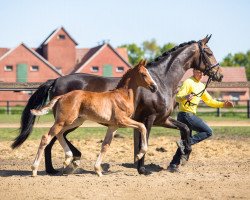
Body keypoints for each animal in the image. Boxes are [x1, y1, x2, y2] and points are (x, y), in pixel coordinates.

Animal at [12, 35, 223, 174]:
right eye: (209, 52)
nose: (219, 74)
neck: (161, 80)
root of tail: (55, 80)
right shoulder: (149, 119)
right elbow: (144, 141)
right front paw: (142, 168)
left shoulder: (163, 119)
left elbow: (185, 129)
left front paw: (182, 156)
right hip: (69, 120)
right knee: (51, 139)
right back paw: (56, 166)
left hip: (74, 121)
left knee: (57, 137)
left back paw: (68, 161)